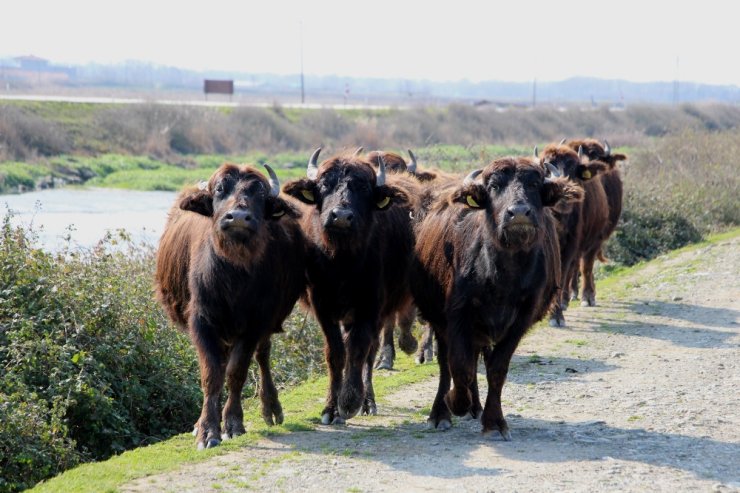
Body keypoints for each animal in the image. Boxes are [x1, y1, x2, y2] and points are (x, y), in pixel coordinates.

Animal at [155, 163, 308, 448]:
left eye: (259, 193)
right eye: (219, 190)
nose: (237, 217)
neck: (233, 276)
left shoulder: (255, 323)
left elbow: (236, 373)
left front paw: (233, 424)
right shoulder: (201, 322)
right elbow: (211, 375)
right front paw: (207, 429)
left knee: (262, 355)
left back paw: (271, 408)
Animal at [414, 156, 580, 436]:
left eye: (534, 184)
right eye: (494, 187)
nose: (519, 213)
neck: (504, 275)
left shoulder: (521, 320)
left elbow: (496, 368)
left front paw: (494, 420)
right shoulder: (458, 314)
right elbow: (459, 366)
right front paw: (454, 402)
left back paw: (476, 407)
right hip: (441, 320)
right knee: (448, 364)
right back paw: (442, 412)